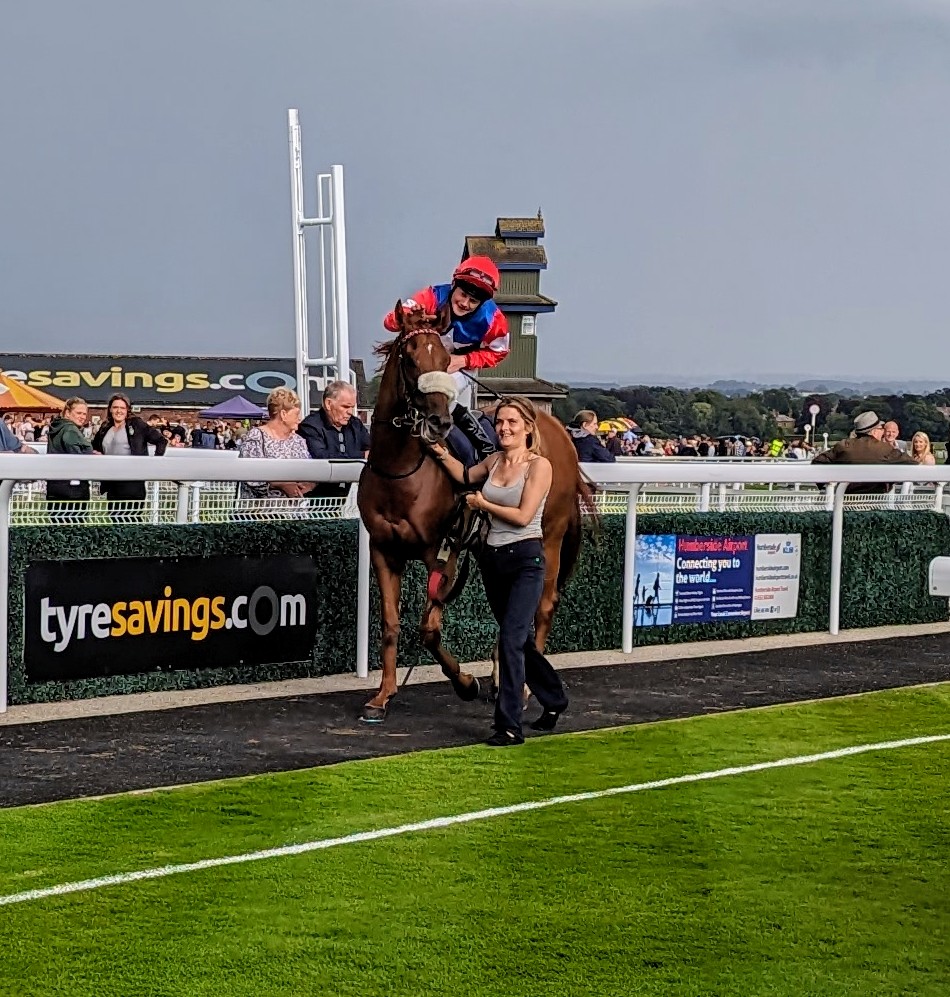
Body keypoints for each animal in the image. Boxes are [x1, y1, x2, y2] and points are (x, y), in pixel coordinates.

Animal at [358, 300, 592, 720]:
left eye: (443, 358)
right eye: (410, 357)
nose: (439, 422)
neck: (401, 470)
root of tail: (562, 434)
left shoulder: (443, 552)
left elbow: (429, 630)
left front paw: (466, 683)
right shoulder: (383, 550)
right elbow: (390, 624)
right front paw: (382, 696)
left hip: (548, 537)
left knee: (542, 607)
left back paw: (526, 688)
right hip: (491, 550)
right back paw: (503, 679)